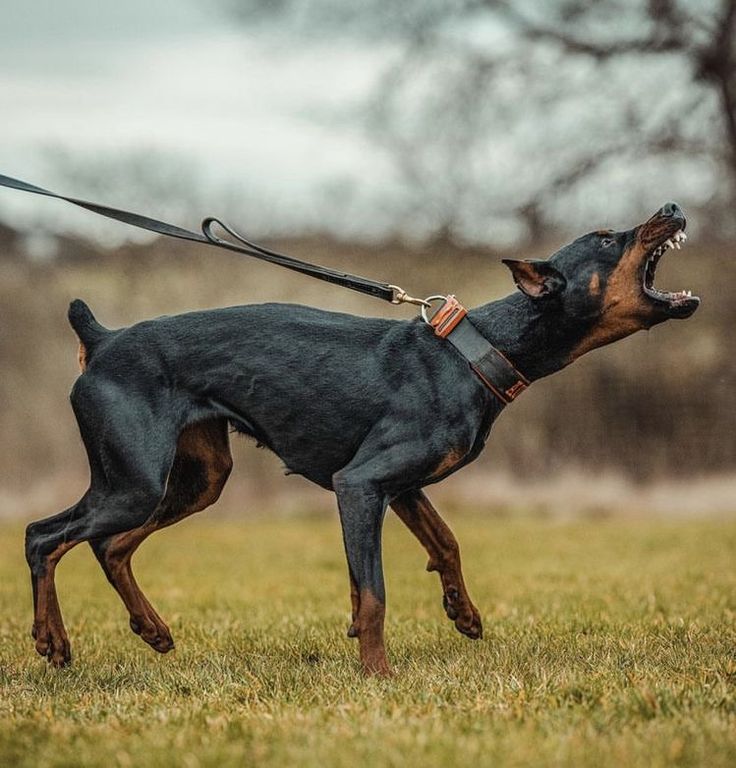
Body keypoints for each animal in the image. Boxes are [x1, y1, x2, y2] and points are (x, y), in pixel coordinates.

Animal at [25, 201, 700, 676]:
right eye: (607, 238)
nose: (671, 206)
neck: (475, 350)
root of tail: (102, 339)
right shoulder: (360, 483)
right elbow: (374, 592)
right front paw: (378, 674)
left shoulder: (399, 488)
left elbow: (445, 544)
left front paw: (463, 614)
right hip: (135, 482)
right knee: (44, 537)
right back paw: (53, 642)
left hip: (197, 480)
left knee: (111, 546)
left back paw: (153, 630)